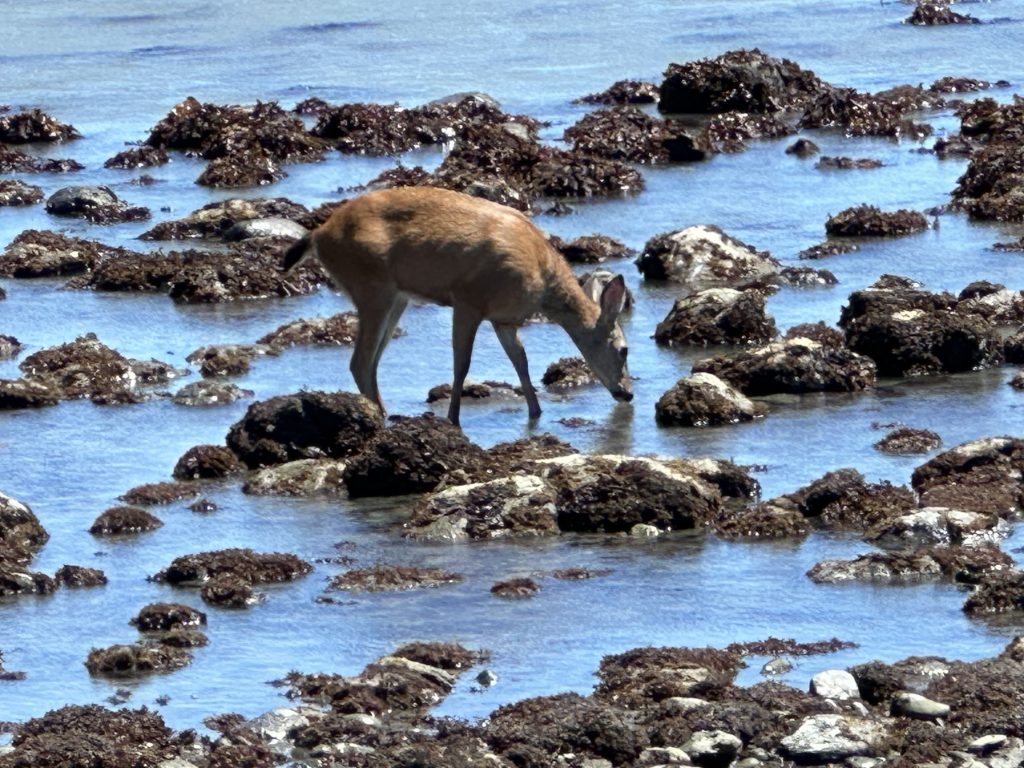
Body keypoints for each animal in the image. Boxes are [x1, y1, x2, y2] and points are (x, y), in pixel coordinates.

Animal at [281, 186, 632, 426]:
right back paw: (380, 417)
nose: (627, 393)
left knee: (371, 362)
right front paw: (453, 418)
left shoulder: (505, 319)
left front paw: (535, 411)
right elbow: (461, 364)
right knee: (360, 361)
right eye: (624, 349)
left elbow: (520, 361)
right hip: (371, 286)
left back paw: (386, 414)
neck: (540, 274)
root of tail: (318, 235)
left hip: (396, 297)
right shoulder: (467, 299)